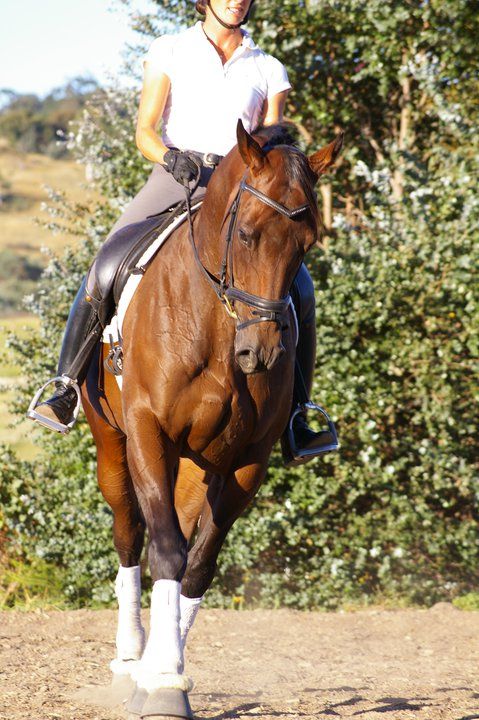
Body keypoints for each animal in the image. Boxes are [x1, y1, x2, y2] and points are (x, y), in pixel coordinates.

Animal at [81, 120, 342, 719]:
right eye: (245, 234)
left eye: (306, 246)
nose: (261, 354)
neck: (215, 326)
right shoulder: (148, 433)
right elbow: (164, 549)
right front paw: (159, 684)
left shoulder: (248, 460)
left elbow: (197, 563)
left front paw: (166, 679)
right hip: (112, 444)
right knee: (131, 535)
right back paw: (128, 664)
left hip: (196, 465)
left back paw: (148, 664)